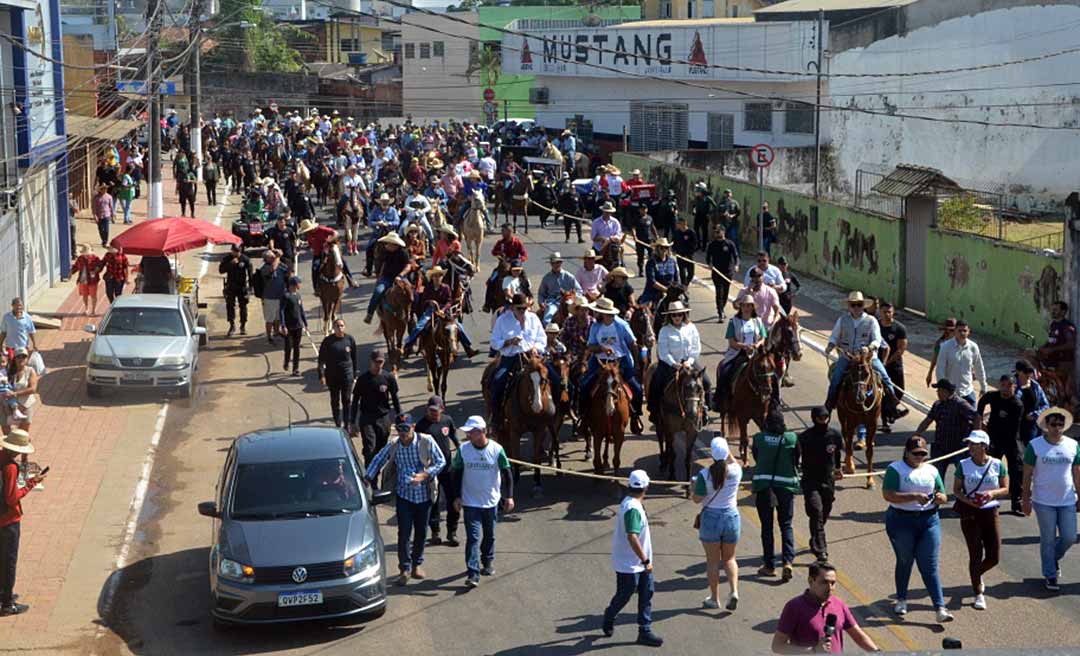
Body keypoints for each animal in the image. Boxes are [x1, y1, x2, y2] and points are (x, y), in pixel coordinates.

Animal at [481, 354, 557, 497]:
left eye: (544, 379)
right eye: (528, 379)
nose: (537, 406)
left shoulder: (539, 430)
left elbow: (536, 457)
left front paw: (537, 485)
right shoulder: (515, 431)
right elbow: (516, 454)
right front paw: (514, 481)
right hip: (496, 418)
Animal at [833, 354, 885, 488]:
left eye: (867, 373)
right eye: (853, 373)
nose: (859, 396)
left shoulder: (872, 425)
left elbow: (870, 451)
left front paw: (870, 480)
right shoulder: (851, 421)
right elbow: (849, 444)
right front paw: (850, 467)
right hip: (842, 415)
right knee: (845, 435)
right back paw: (848, 462)